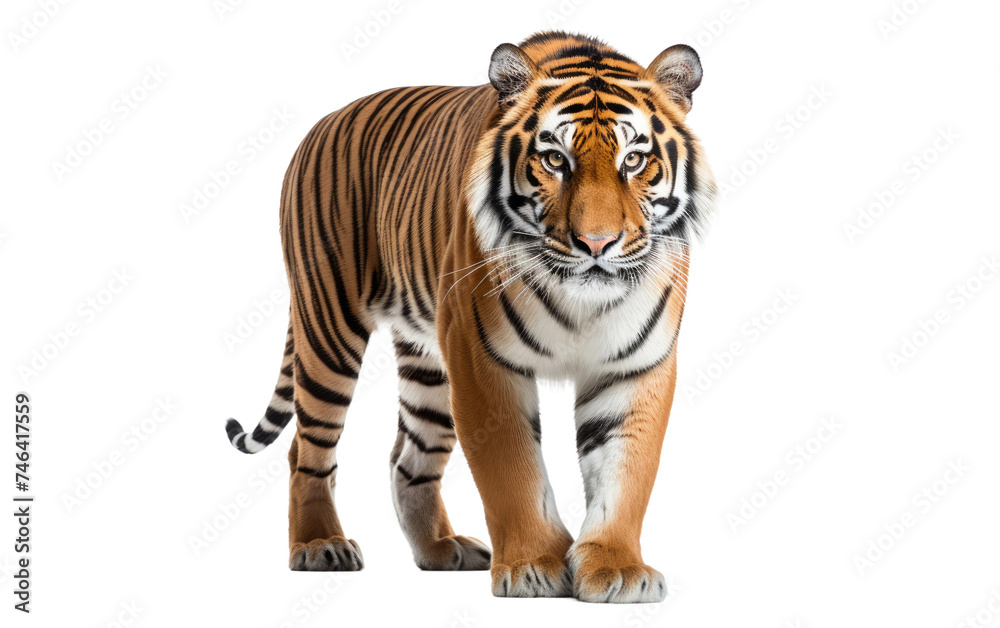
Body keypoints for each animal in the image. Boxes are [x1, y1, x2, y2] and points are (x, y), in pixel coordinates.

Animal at [224, 30, 717, 603]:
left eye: (634, 160)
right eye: (555, 160)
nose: (596, 243)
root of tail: (320, 124)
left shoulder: (635, 365)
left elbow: (626, 473)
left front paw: (616, 569)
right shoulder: (483, 357)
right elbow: (512, 470)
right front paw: (533, 566)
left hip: (428, 363)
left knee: (407, 459)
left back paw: (441, 550)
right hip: (329, 325)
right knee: (307, 447)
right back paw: (319, 545)